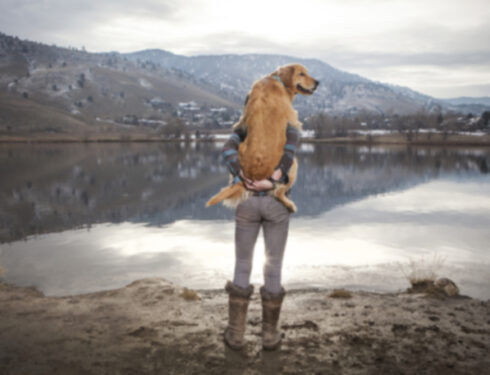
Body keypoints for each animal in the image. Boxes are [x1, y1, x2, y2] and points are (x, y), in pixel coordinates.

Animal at [206, 63, 318, 213]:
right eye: (301, 74)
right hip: (294, 163)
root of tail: (252, 176)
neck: (278, 80)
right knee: (278, 192)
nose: (318, 82)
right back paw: (290, 205)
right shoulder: (292, 117)